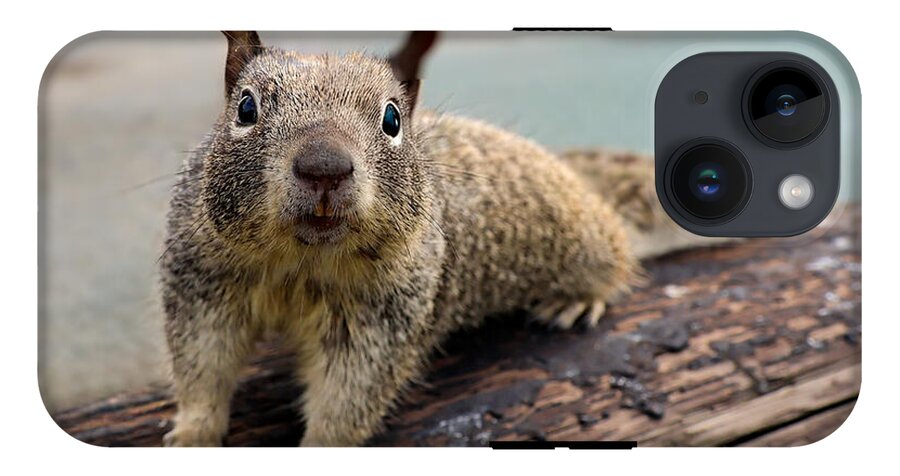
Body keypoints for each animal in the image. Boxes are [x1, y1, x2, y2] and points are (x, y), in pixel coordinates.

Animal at [160, 31, 705, 447]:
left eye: (392, 118)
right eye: (246, 107)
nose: (324, 167)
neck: (303, 261)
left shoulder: (382, 319)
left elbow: (348, 398)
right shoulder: (203, 284)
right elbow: (202, 368)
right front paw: (191, 436)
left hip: (587, 240)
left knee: (616, 256)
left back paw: (577, 299)